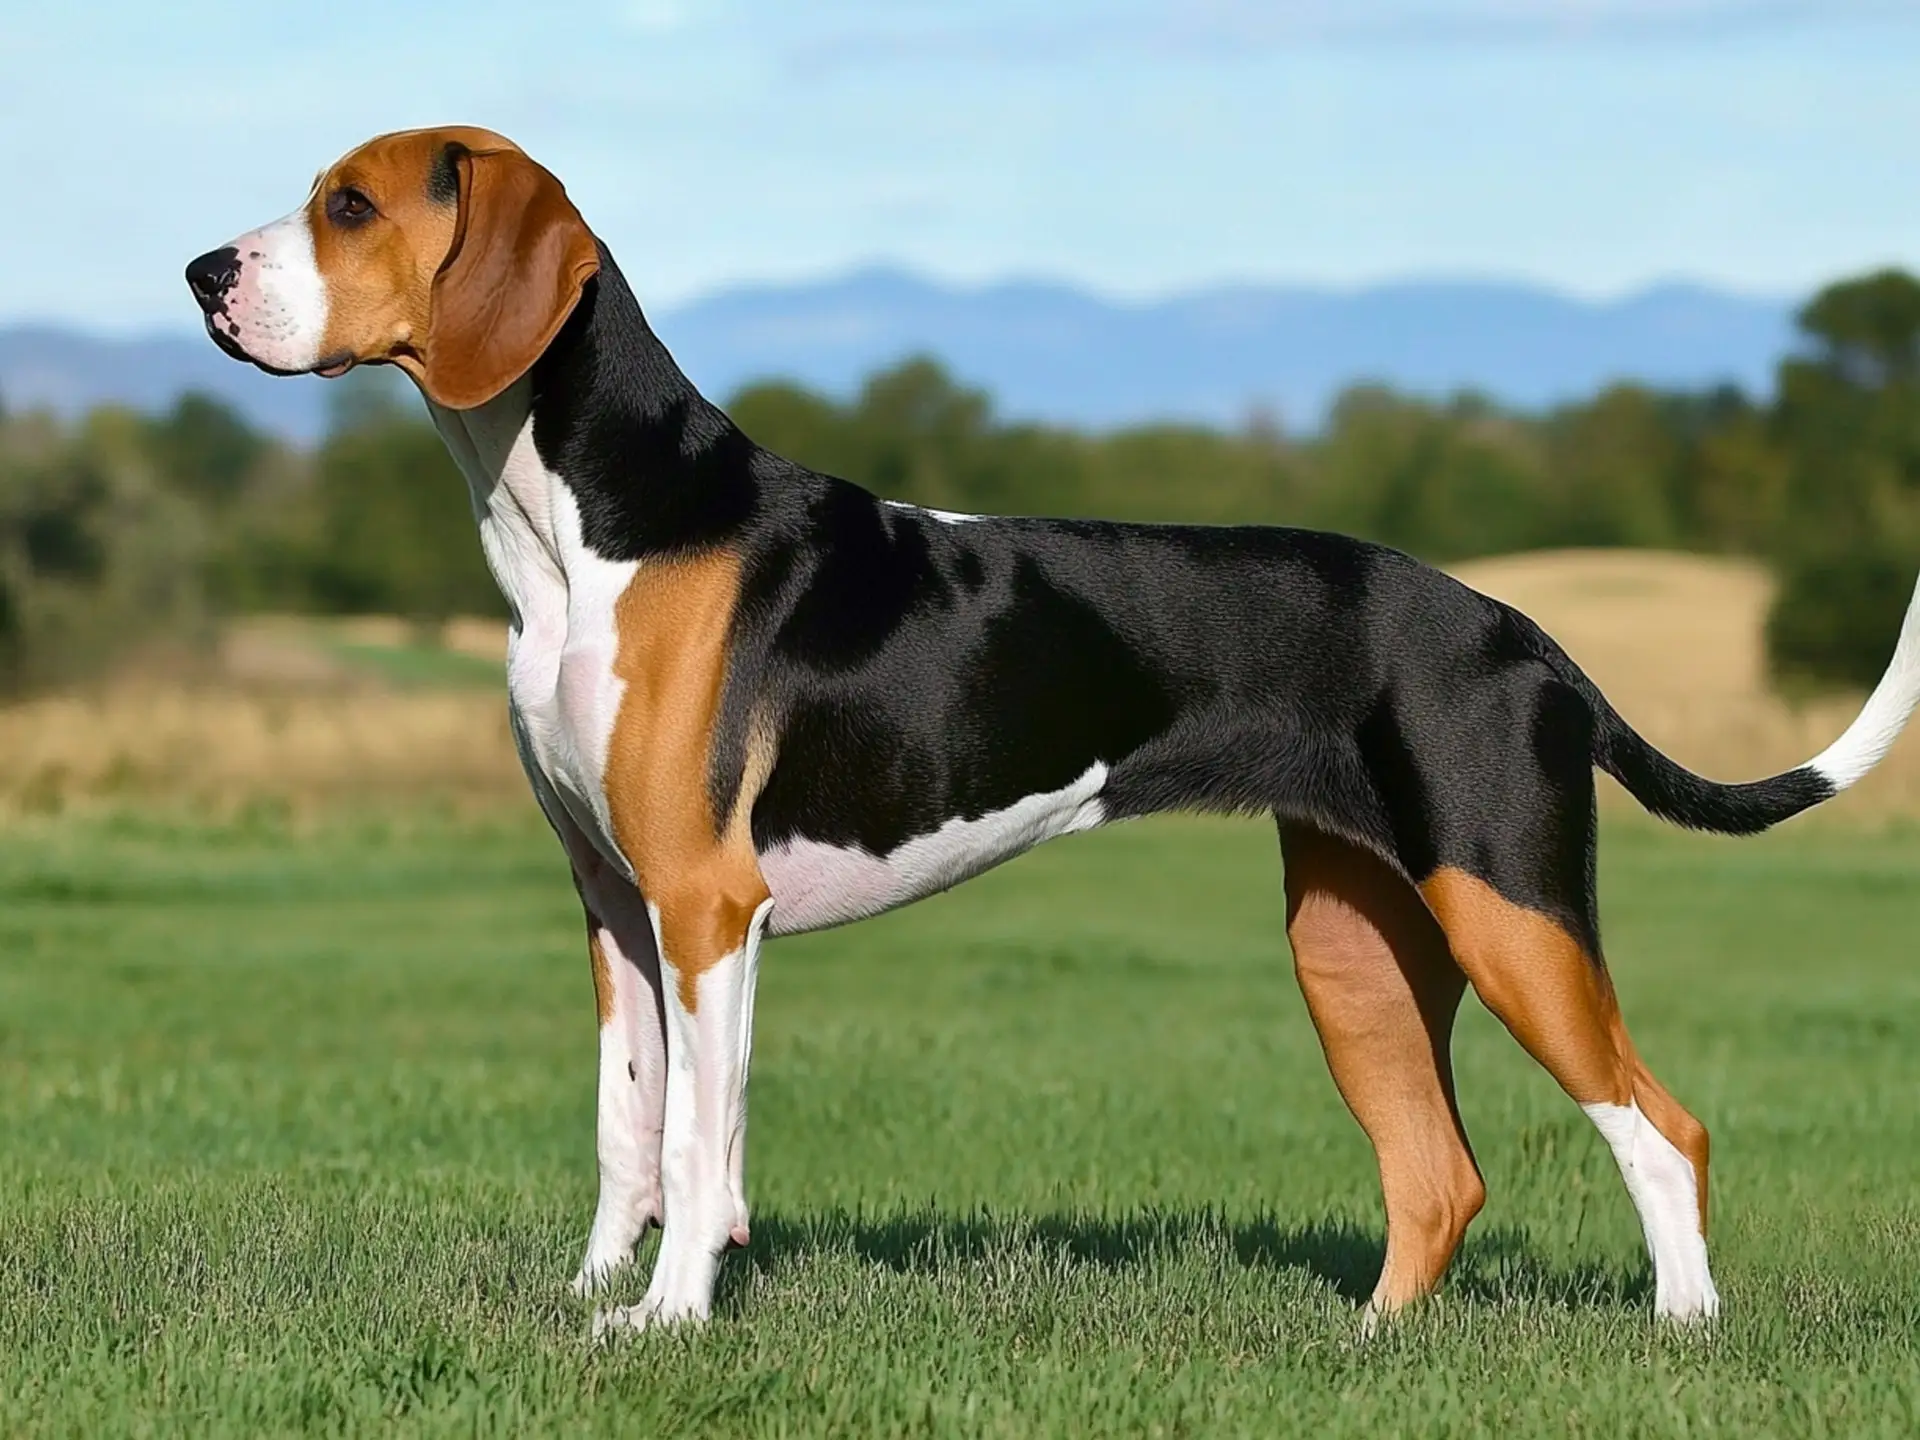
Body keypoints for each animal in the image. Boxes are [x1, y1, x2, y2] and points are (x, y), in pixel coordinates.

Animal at [187, 129, 1920, 1336]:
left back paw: (1682, 1329)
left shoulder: (706, 908)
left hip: (1514, 914)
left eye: (353, 205)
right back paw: (1366, 1345)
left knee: (1664, 1128)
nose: (203, 271)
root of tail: (1526, 635)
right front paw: (592, 1302)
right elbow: (632, 1134)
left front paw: (666, 1324)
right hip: (1356, 948)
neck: (588, 526)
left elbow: (695, 1145)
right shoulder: (617, 909)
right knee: (1441, 1177)